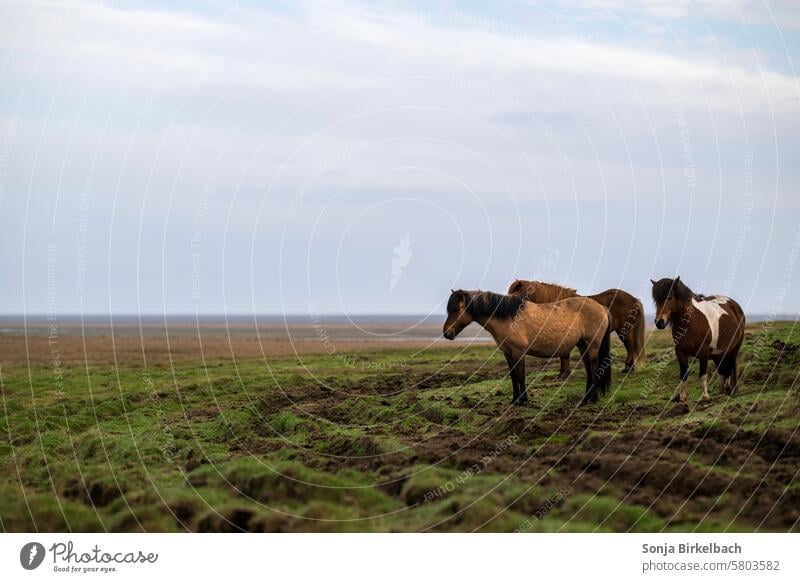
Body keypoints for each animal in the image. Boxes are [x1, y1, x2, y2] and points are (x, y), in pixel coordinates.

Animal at [444, 290, 612, 406]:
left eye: (456, 309)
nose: (447, 333)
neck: (509, 318)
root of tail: (602, 307)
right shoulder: (508, 354)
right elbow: (513, 376)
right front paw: (514, 400)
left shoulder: (519, 353)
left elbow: (521, 376)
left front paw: (523, 401)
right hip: (582, 345)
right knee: (589, 370)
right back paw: (586, 398)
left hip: (592, 345)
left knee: (595, 368)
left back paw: (592, 399)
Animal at [510, 280, 648, 378]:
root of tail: (634, 300)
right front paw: (562, 373)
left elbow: (564, 355)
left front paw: (564, 374)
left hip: (625, 330)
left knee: (631, 347)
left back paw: (628, 368)